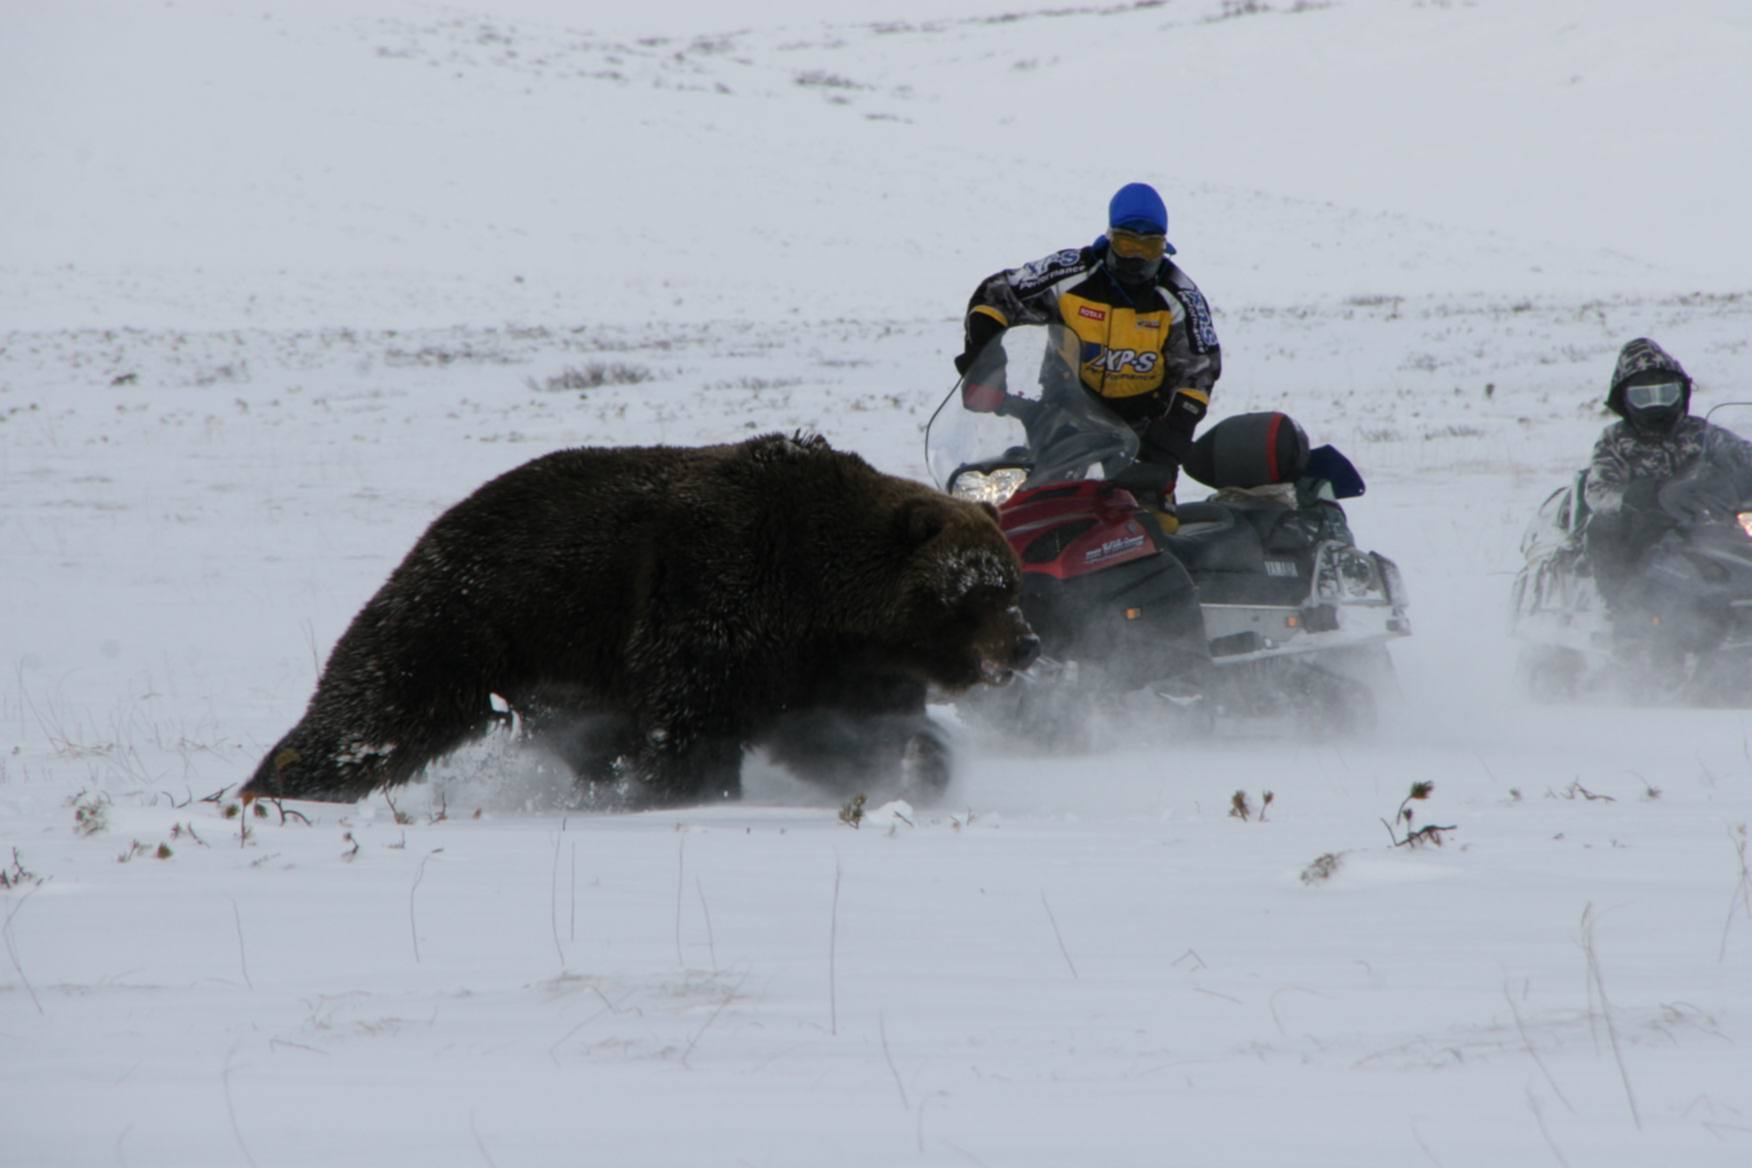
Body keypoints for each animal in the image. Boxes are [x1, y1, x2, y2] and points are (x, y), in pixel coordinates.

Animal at [247, 434, 1037, 809]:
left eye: (1010, 580)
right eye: (981, 591)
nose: (1027, 645)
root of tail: (440, 524)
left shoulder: (828, 666)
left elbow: (839, 736)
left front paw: (920, 766)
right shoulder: (716, 605)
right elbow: (691, 725)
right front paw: (683, 793)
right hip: (475, 614)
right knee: (377, 706)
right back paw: (274, 784)